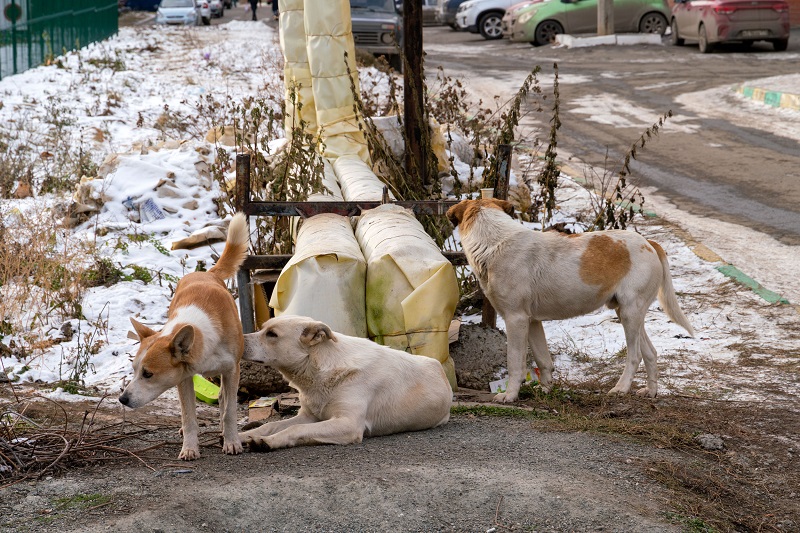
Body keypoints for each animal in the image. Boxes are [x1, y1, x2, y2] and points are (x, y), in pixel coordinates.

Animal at [119, 214, 248, 460]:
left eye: (148, 374)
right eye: (134, 370)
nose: (122, 399)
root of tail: (206, 273)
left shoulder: (232, 370)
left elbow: (229, 412)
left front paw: (232, 441)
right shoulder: (184, 379)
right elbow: (189, 417)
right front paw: (189, 447)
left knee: (223, 399)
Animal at [238, 314, 454, 450]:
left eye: (272, 334)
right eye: (263, 329)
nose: (239, 338)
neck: (321, 369)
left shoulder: (348, 424)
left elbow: (295, 429)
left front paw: (268, 442)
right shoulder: (309, 416)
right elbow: (270, 426)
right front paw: (244, 435)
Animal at [446, 197, 696, 402]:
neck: (494, 242)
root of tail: (649, 243)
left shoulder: (516, 320)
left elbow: (514, 363)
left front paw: (510, 395)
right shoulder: (532, 321)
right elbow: (543, 361)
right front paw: (546, 391)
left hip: (629, 314)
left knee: (634, 356)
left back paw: (621, 389)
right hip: (630, 314)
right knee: (650, 353)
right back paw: (651, 392)